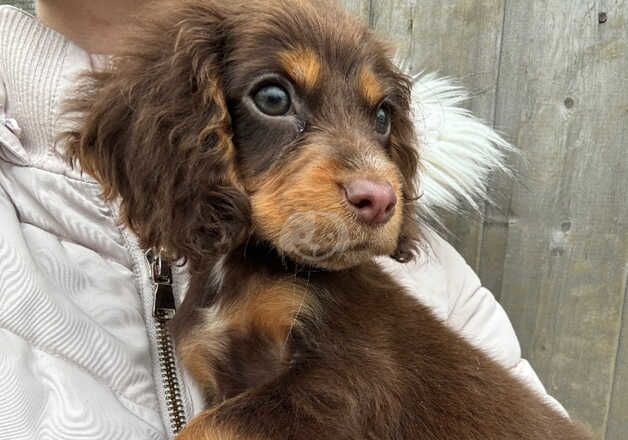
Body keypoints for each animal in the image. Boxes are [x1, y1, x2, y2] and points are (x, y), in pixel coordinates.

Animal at [66, 0, 592, 440]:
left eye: (382, 116)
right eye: (273, 98)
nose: (381, 200)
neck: (248, 265)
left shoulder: (349, 376)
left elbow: (207, 426)